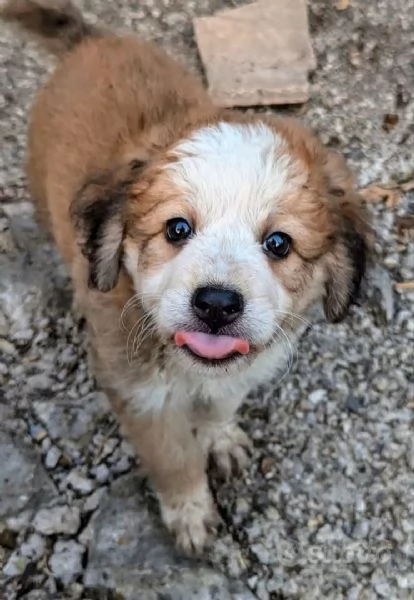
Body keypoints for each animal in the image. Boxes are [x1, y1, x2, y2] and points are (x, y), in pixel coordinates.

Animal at [0, 0, 368, 552]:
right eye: (177, 228)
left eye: (278, 243)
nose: (216, 304)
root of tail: (95, 41)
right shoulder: (141, 398)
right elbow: (174, 459)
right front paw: (191, 511)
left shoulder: (241, 369)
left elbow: (220, 406)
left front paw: (219, 437)